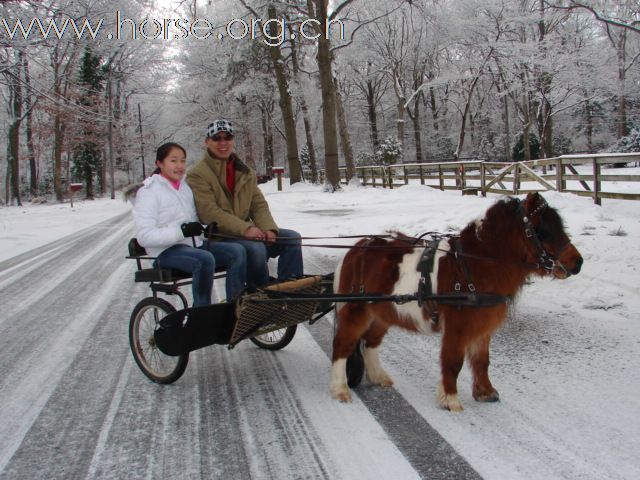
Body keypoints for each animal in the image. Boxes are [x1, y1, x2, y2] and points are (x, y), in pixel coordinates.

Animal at [332, 193, 584, 410]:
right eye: (544, 230)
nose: (578, 262)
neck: (472, 264)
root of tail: (355, 249)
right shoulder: (458, 325)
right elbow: (453, 361)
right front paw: (450, 399)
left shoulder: (483, 325)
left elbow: (482, 361)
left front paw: (485, 392)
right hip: (356, 310)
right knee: (343, 345)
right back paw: (340, 389)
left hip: (383, 312)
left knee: (370, 342)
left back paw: (379, 377)